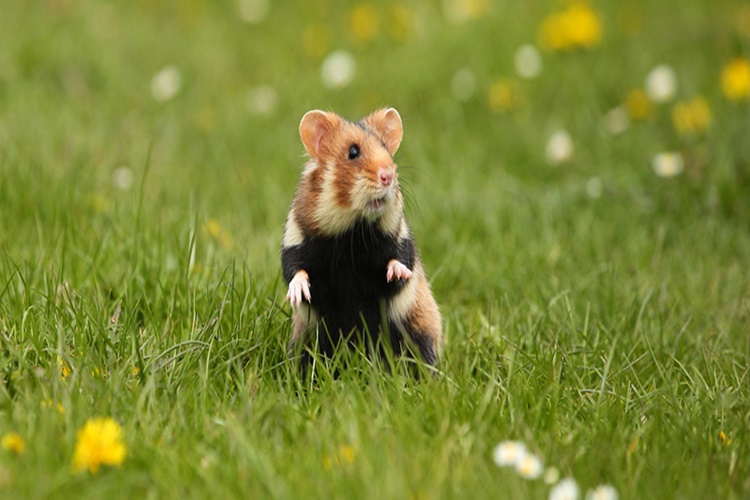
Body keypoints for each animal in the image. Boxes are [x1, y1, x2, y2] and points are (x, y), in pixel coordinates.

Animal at [281, 107, 442, 369]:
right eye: (353, 152)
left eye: (386, 148)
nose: (388, 175)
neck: (353, 231)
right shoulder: (296, 238)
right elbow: (295, 271)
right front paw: (297, 294)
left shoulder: (399, 236)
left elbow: (400, 259)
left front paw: (398, 273)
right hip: (309, 340)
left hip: (418, 331)